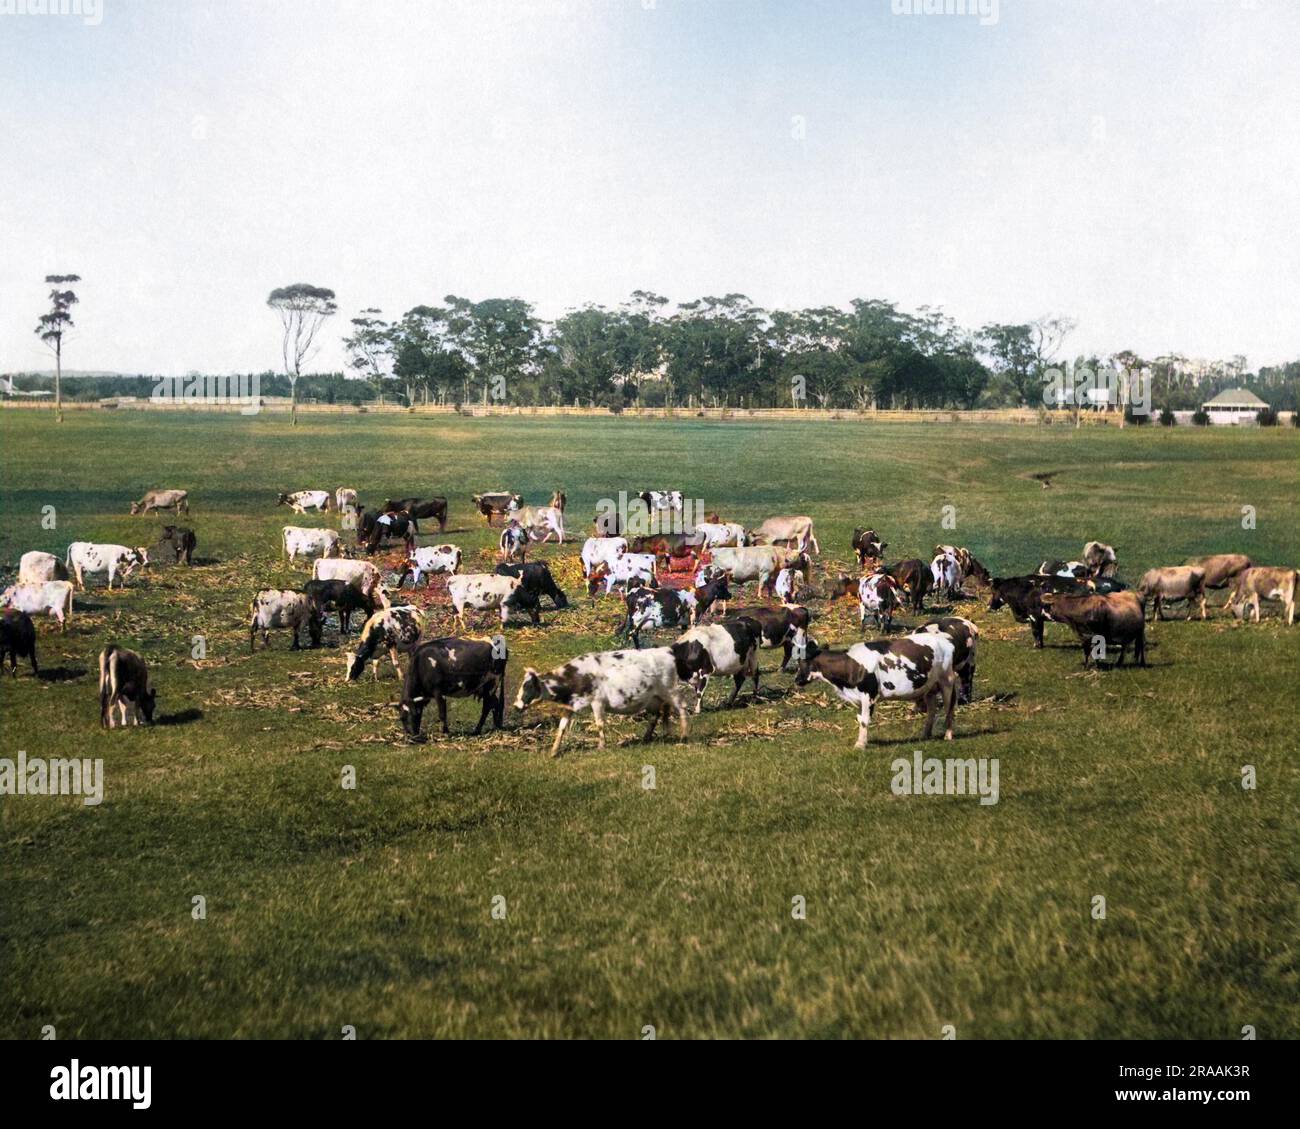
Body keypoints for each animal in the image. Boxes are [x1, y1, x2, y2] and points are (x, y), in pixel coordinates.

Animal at [512, 645, 707, 759]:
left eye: (528, 687)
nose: (516, 706)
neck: (578, 675)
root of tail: (666, 651)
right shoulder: (570, 706)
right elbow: (561, 727)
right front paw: (553, 751)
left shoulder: (597, 701)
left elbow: (599, 724)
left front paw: (601, 746)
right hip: (654, 698)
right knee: (658, 714)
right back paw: (650, 737)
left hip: (671, 691)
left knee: (681, 708)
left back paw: (683, 735)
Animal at [785, 626, 961, 749]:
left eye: (802, 662)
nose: (796, 680)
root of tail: (946, 641)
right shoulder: (858, 697)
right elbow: (860, 719)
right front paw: (862, 741)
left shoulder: (868, 695)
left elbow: (864, 721)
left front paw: (860, 745)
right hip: (929, 687)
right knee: (932, 710)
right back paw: (925, 735)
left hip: (947, 681)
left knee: (949, 708)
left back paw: (948, 735)